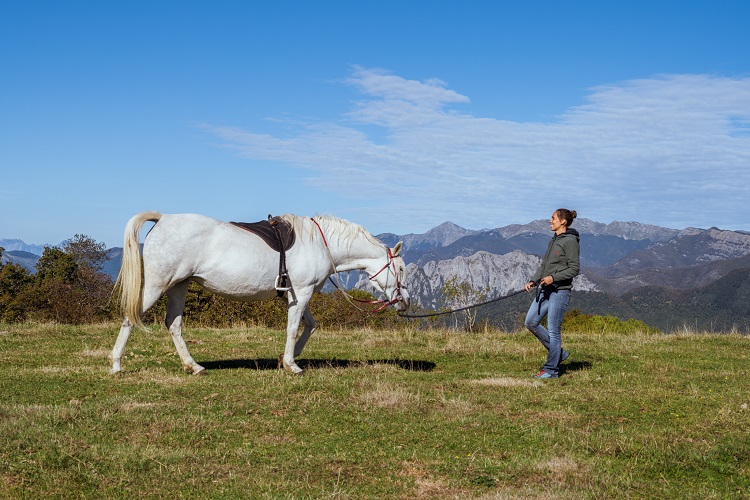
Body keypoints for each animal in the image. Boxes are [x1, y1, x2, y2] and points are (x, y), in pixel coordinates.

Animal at [110, 211, 412, 376]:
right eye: (400, 268)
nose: (406, 302)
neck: (319, 243)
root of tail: (163, 219)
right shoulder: (302, 292)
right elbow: (293, 328)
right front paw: (291, 364)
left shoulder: (298, 293)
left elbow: (310, 325)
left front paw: (285, 358)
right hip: (158, 284)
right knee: (131, 317)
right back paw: (116, 364)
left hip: (179, 286)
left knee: (173, 324)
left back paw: (193, 365)